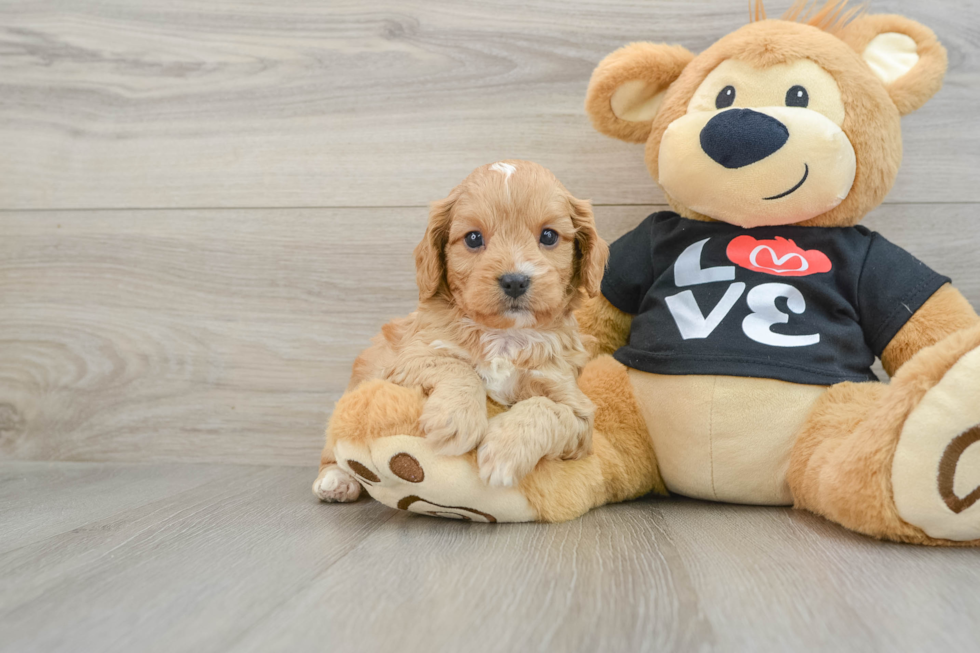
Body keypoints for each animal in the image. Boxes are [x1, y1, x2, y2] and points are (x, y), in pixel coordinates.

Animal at [312, 159, 604, 500]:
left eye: (548, 235)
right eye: (473, 238)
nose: (515, 281)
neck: (504, 336)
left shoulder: (577, 410)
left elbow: (547, 409)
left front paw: (505, 450)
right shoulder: (407, 359)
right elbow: (456, 366)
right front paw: (456, 419)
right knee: (332, 450)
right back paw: (337, 480)